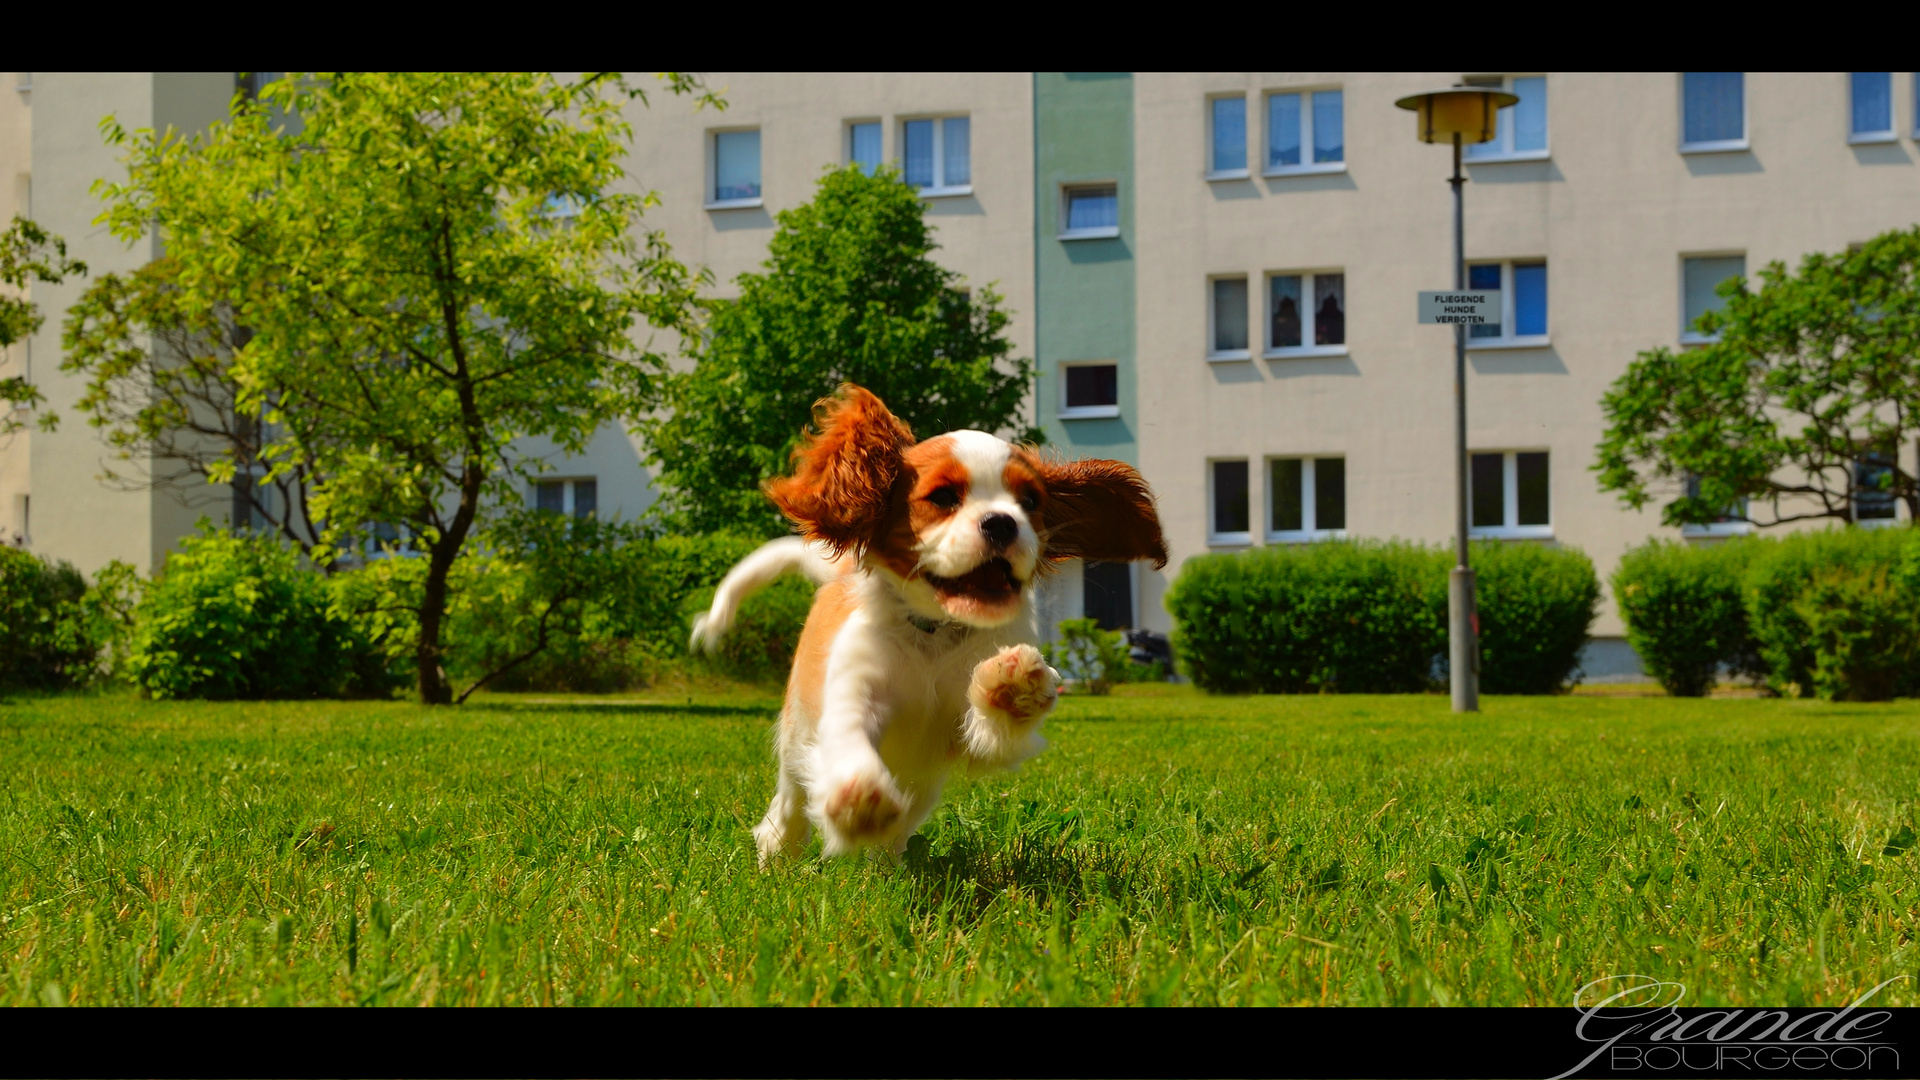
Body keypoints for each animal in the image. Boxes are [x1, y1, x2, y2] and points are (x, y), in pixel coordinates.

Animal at [695, 382, 1167, 860]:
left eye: (1030, 502)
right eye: (943, 497)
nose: (1003, 523)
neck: (936, 630)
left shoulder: (978, 739)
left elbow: (997, 734)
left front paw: (1013, 686)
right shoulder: (854, 685)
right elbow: (847, 735)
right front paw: (856, 795)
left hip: (918, 789)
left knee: (896, 827)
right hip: (798, 732)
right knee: (792, 794)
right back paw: (780, 848)